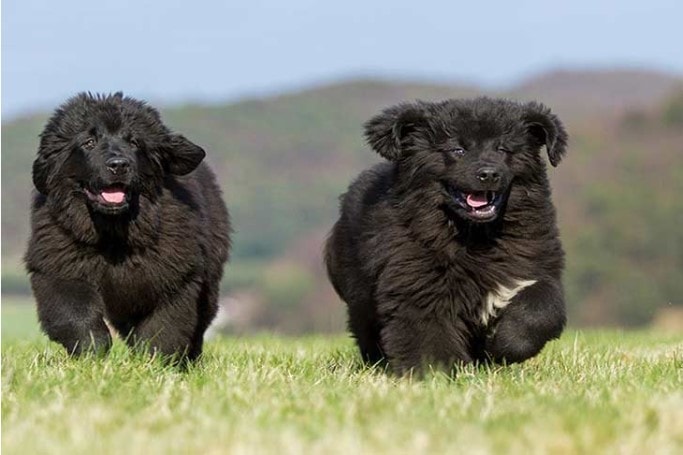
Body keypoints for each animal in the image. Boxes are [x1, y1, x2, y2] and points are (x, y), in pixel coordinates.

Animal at [24, 93, 232, 364]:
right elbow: (76, 315)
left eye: (134, 142)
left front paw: (154, 363)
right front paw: (92, 353)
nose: (118, 164)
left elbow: (164, 327)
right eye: (89, 142)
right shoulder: (60, 267)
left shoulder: (174, 277)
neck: (114, 235)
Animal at [324, 96, 568, 374]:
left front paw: (502, 345)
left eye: (503, 149)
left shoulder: (533, 268)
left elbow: (541, 310)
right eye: (457, 150)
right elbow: (428, 333)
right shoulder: (417, 284)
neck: (475, 235)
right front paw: (436, 372)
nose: (489, 174)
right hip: (360, 296)